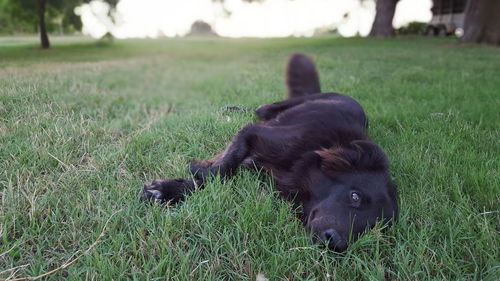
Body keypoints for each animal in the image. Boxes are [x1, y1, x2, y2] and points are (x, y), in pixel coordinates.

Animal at [141, 53, 398, 250]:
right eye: (355, 196)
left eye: (373, 226)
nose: (336, 244)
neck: (307, 154)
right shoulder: (254, 133)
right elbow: (221, 172)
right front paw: (175, 185)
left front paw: (167, 190)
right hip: (273, 108)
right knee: (256, 110)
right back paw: (230, 109)